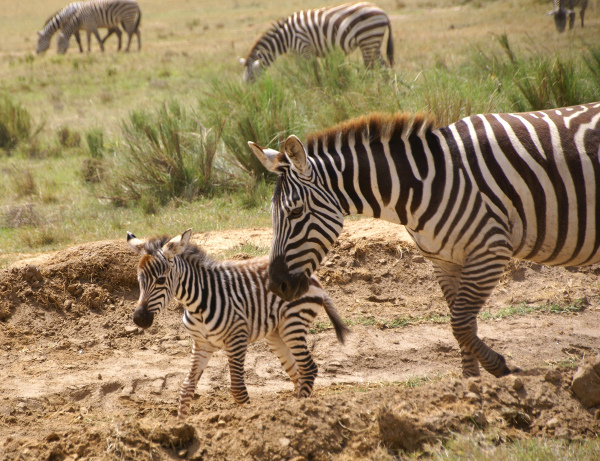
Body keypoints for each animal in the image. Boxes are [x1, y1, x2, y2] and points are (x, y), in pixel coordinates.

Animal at [129, 227, 350, 416]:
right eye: (139, 279)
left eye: (160, 280)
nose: (139, 319)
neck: (196, 302)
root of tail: (312, 275)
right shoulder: (201, 344)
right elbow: (187, 387)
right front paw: (182, 425)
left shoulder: (237, 338)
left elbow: (237, 389)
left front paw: (246, 418)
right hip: (276, 334)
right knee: (298, 372)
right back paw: (294, 409)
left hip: (293, 325)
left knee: (308, 368)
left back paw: (302, 409)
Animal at [239, 2, 394, 83]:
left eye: (251, 78)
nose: (252, 98)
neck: (286, 38)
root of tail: (382, 12)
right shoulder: (298, 54)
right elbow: (303, 71)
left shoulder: (305, 48)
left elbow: (314, 71)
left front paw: (317, 86)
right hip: (373, 42)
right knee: (383, 67)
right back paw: (386, 88)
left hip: (367, 39)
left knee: (370, 68)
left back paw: (369, 87)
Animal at [247, 103, 600, 378]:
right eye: (272, 214)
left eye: (295, 212)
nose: (276, 285)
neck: (423, 182)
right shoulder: (444, 261)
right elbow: (463, 325)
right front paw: (472, 386)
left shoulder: (490, 250)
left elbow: (460, 324)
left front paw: (498, 369)